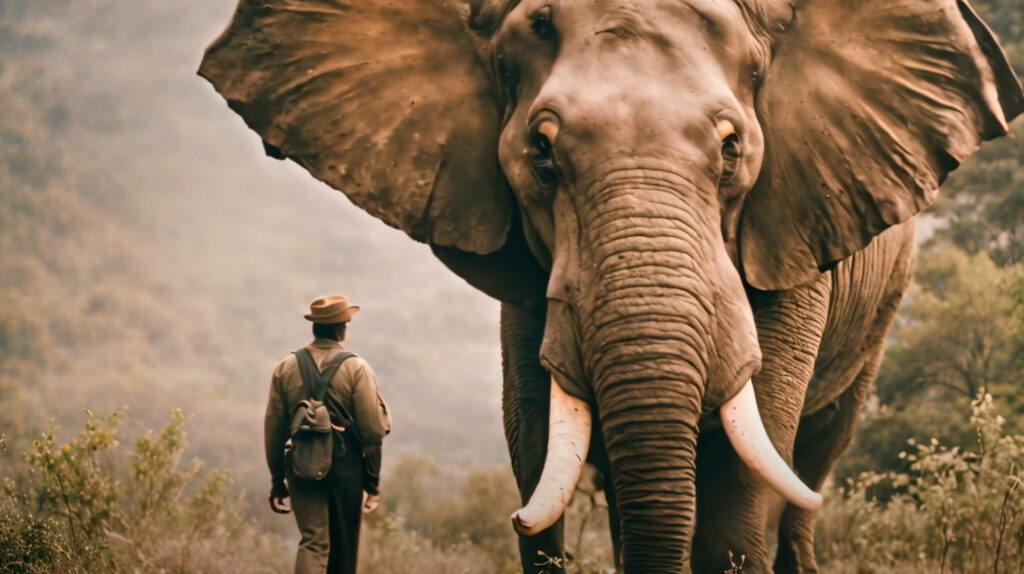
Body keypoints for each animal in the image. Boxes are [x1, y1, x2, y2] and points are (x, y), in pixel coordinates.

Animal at [198, 0, 1024, 572]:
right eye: (542, 152)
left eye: (732, 149)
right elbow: (535, 439)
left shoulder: (793, 220)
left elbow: (743, 472)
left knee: (811, 461)